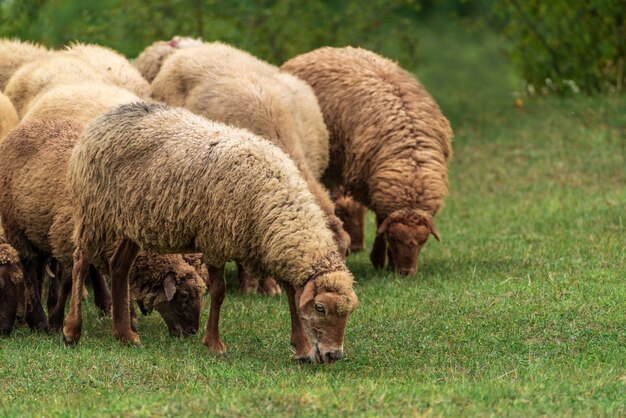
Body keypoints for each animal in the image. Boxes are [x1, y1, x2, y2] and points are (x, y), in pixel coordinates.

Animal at [0, 116, 206, 336]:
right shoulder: (66, 241)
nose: (192, 331)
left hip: (39, 230)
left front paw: (128, 318)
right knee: (29, 269)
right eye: (183, 296)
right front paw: (56, 323)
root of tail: (29, 124)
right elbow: (68, 283)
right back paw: (39, 320)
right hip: (16, 228)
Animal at [64, 103, 356, 364]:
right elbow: (218, 292)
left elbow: (292, 296)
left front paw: (302, 349)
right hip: (95, 212)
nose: (334, 355)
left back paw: (125, 335)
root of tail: (107, 116)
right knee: (80, 261)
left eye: (348, 313)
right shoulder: (216, 240)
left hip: (132, 223)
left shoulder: (271, 245)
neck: (272, 195)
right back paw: (72, 331)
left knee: (119, 267)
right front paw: (214, 345)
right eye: (320, 308)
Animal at [280, 45, 450, 276]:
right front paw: (379, 260)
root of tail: (316, 52)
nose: (406, 273)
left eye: (423, 241)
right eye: (393, 238)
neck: (410, 165)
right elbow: (380, 222)